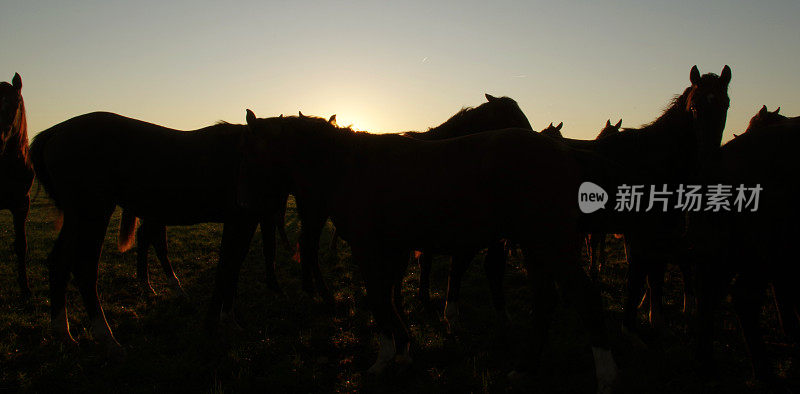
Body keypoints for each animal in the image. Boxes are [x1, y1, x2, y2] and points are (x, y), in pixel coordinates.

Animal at [29, 112, 286, 346]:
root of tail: (54, 132)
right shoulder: (241, 221)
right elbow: (231, 265)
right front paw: (228, 319)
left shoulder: (247, 221)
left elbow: (235, 263)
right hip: (93, 215)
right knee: (85, 267)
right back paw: (105, 334)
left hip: (79, 219)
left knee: (60, 262)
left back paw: (63, 332)